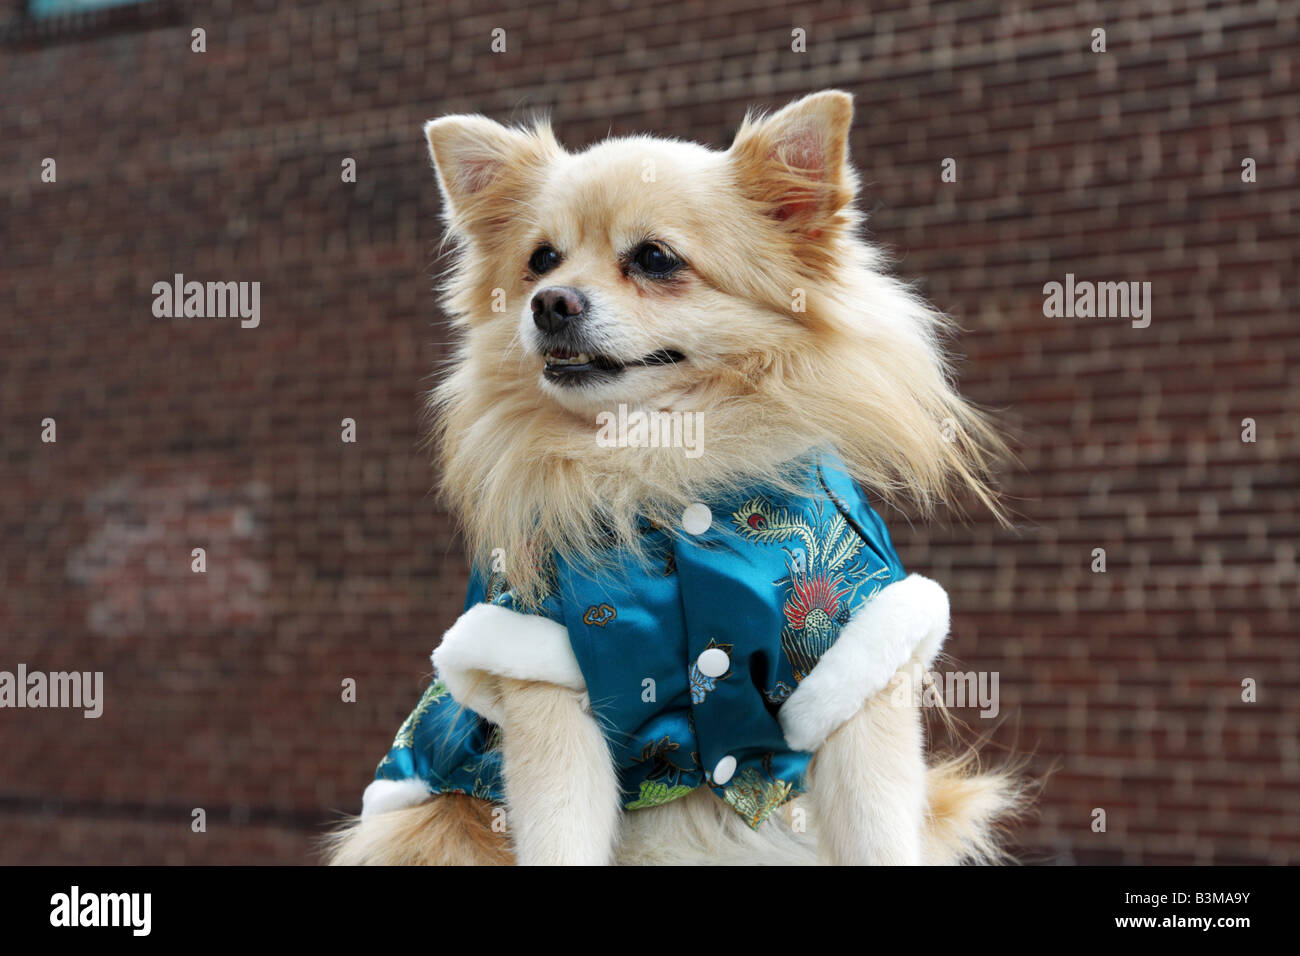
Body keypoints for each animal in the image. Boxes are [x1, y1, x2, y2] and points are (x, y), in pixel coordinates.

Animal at [325, 89, 1013, 868]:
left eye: (654, 258)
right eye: (541, 260)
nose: (549, 302)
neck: (661, 455)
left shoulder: (852, 662)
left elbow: (877, 832)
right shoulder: (548, 680)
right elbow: (561, 832)